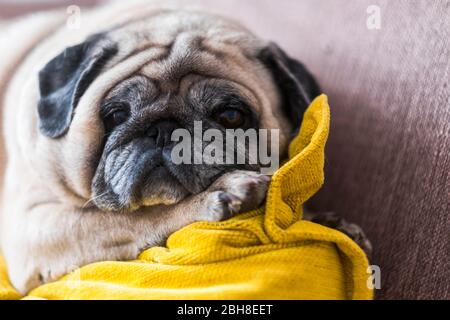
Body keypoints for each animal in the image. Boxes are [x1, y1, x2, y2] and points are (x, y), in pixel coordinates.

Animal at [0, 2, 370, 294]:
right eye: (116, 115)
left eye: (231, 116)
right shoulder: (36, 226)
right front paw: (217, 196)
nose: (164, 130)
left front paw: (320, 219)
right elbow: (136, 217)